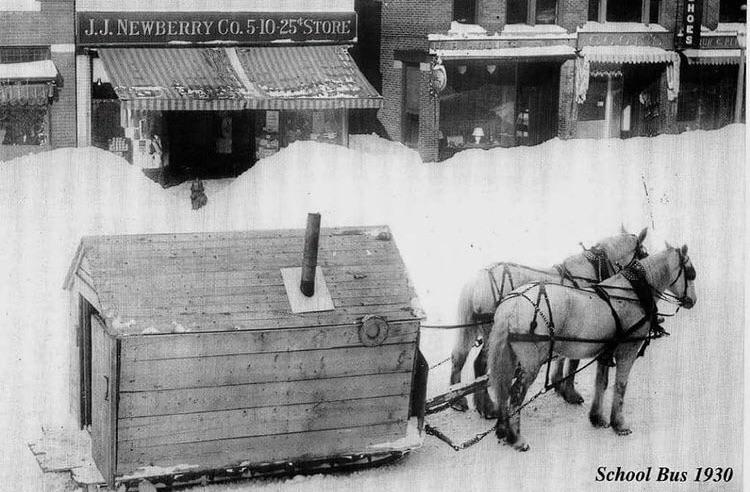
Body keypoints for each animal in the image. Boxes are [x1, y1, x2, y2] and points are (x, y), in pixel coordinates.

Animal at [450, 227, 648, 416]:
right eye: (644, 254)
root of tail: (477, 281)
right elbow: (572, 361)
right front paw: (570, 392)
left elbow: (561, 356)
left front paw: (559, 384)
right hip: (492, 333)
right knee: (480, 364)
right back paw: (488, 407)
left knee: (460, 358)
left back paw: (459, 400)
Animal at [490, 244, 696, 452]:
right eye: (691, 273)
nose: (692, 301)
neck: (632, 294)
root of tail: (511, 305)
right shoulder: (628, 350)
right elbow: (620, 385)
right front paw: (619, 424)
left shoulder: (605, 351)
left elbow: (601, 383)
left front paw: (597, 418)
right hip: (531, 362)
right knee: (516, 393)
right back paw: (516, 438)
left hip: (510, 357)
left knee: (503, 388)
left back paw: (503, 429)